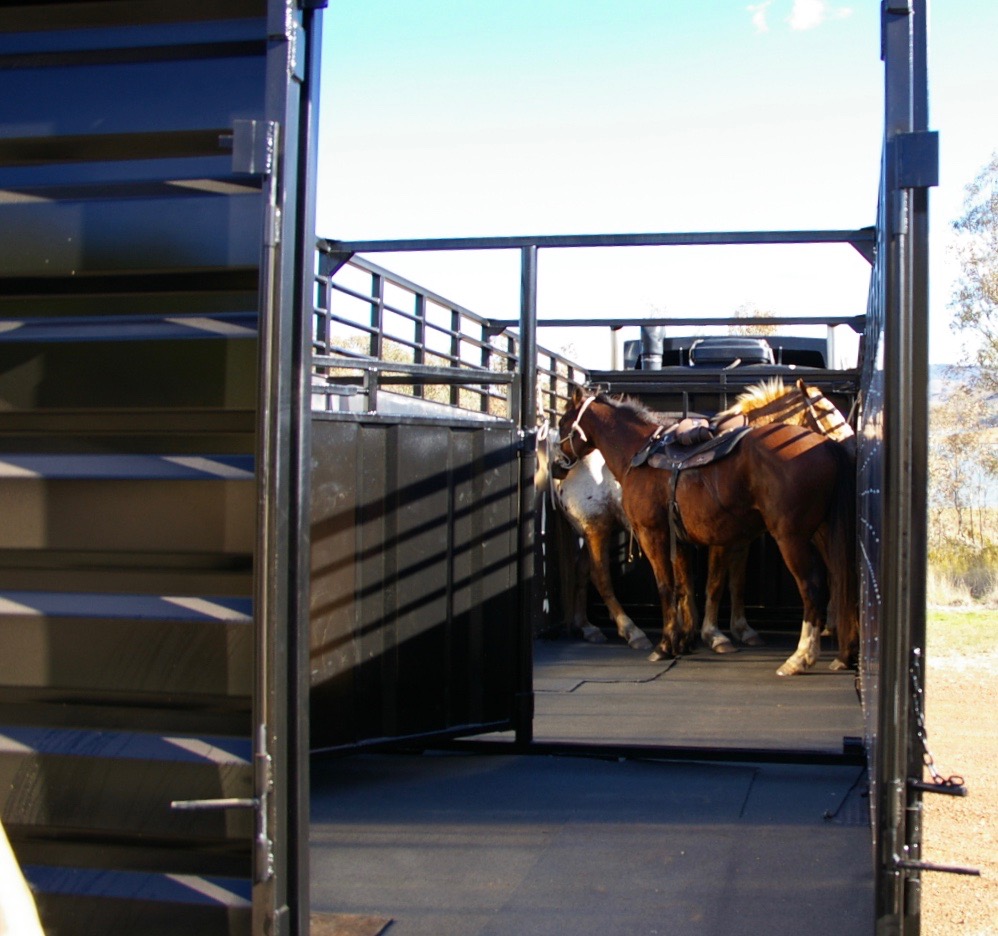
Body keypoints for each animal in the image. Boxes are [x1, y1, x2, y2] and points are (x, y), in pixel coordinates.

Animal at [544, 376, 856, 656]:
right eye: (827, 412)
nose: (557, 464)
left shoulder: (727, 539)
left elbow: (723, 583)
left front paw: (720, 631)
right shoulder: (706, 538)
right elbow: (706, 584)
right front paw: (709, 634)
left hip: (596, 530)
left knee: (584, 571)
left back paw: (589, 627)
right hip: (596, 528)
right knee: (600, 576)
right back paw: (630, 631)